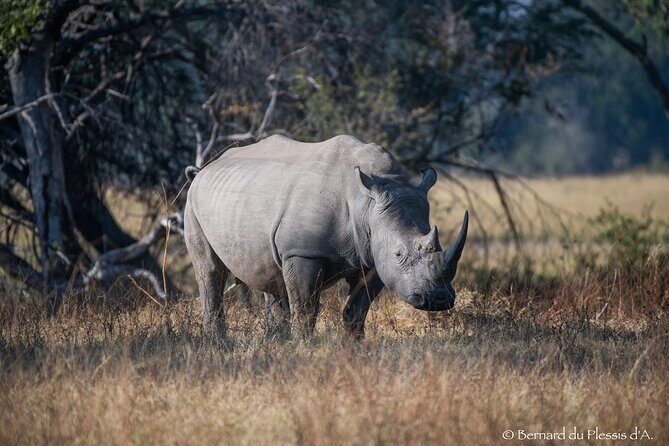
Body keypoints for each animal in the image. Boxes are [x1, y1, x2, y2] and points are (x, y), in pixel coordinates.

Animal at [184, 134, 468, 338]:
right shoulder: (302, 252)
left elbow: (356, 312)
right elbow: (305, 310)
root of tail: (203, 170)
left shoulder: (374, 258)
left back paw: (273, 344)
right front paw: (303, 349)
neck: (366, 204)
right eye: (399, 253)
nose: (438, 300)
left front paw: (354, 349)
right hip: (192, 202)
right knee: (210, 272)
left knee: (270, 277)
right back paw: (218, 343)